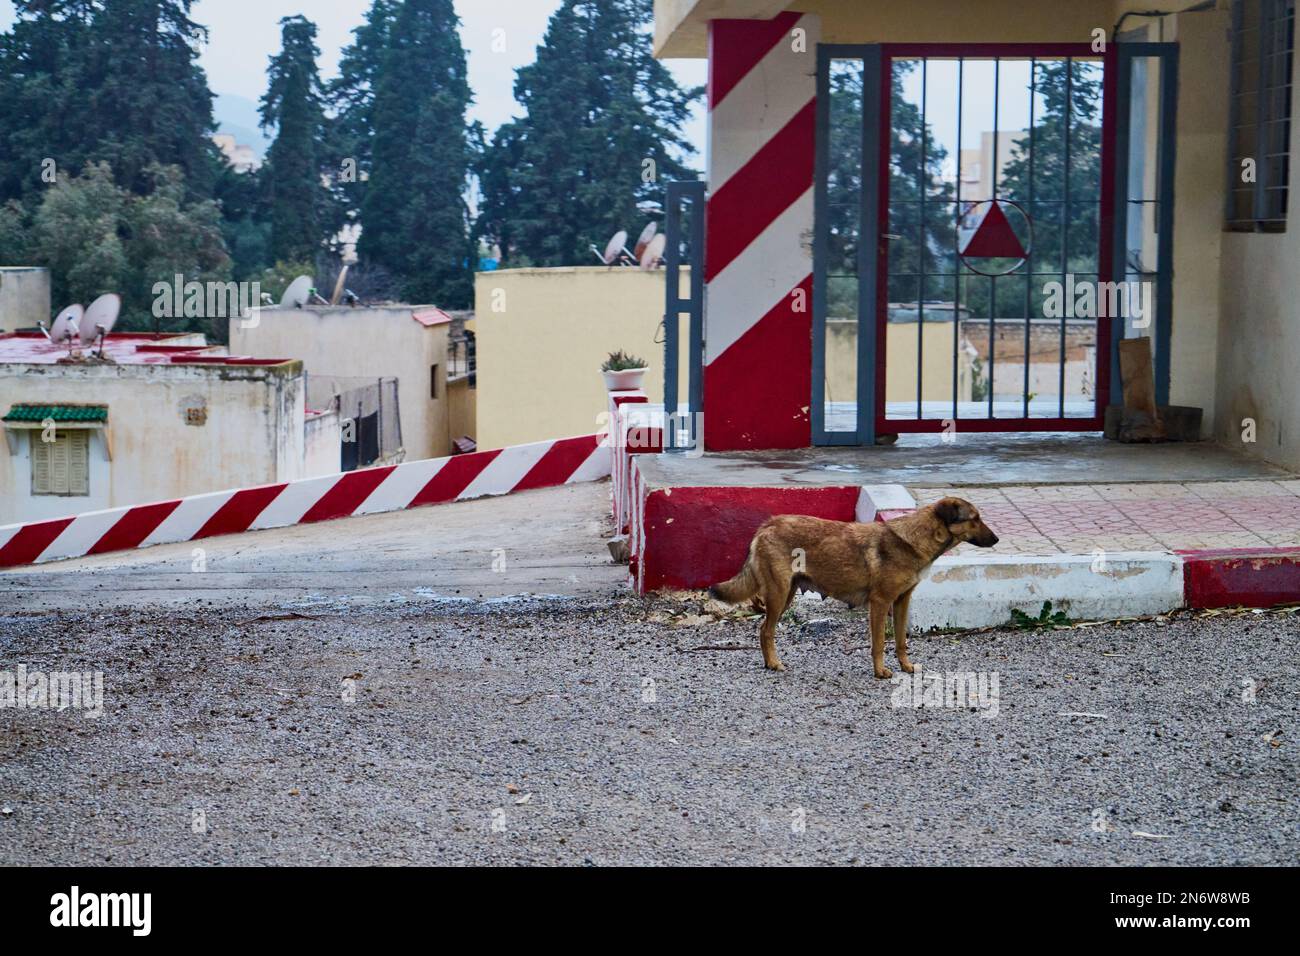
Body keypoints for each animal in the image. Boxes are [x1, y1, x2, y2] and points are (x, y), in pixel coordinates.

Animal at [712, 496, 993, 676]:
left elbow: (901, 641)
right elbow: (878, 643)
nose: (997, 539)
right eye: (975, 518)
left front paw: (906, 666)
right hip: (779, 595)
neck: (914, 539)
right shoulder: (880, 604)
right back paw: (773, 664)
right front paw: (880, 672)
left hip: (787, 594)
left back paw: (770, 662)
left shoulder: (901, 602)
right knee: (765, 631)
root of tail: (768, 524)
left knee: (763, 630)